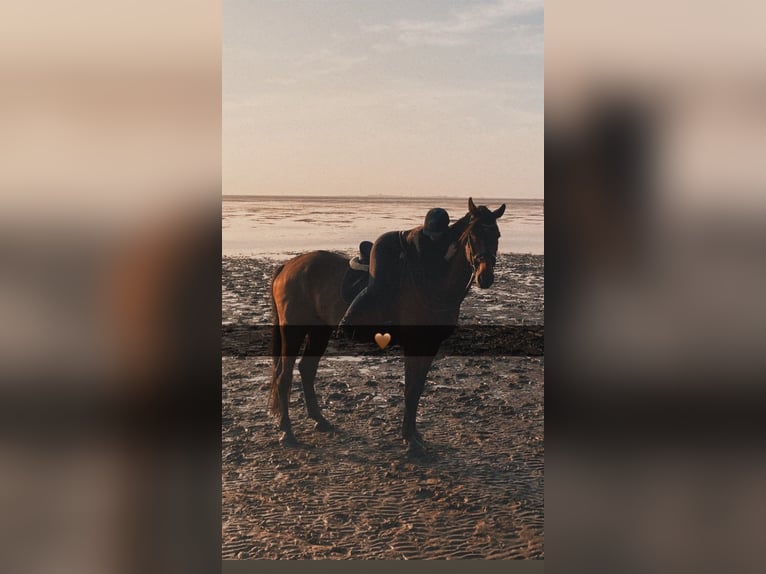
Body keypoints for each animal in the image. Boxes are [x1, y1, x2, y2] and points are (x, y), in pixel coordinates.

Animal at [268, 197, 508, 454]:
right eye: (473, 235)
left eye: (497, 235)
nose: (485, 277)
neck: (434, 280)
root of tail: (288, 265)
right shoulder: (414, 345)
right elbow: (410, 389)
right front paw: (410, 440)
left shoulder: (430, 345)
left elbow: (417, 388)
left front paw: (414, 435)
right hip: (293, 330)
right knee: (284, 375)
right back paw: (287, 432)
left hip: (319, 330)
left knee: (307, 369)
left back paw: (320, 420)